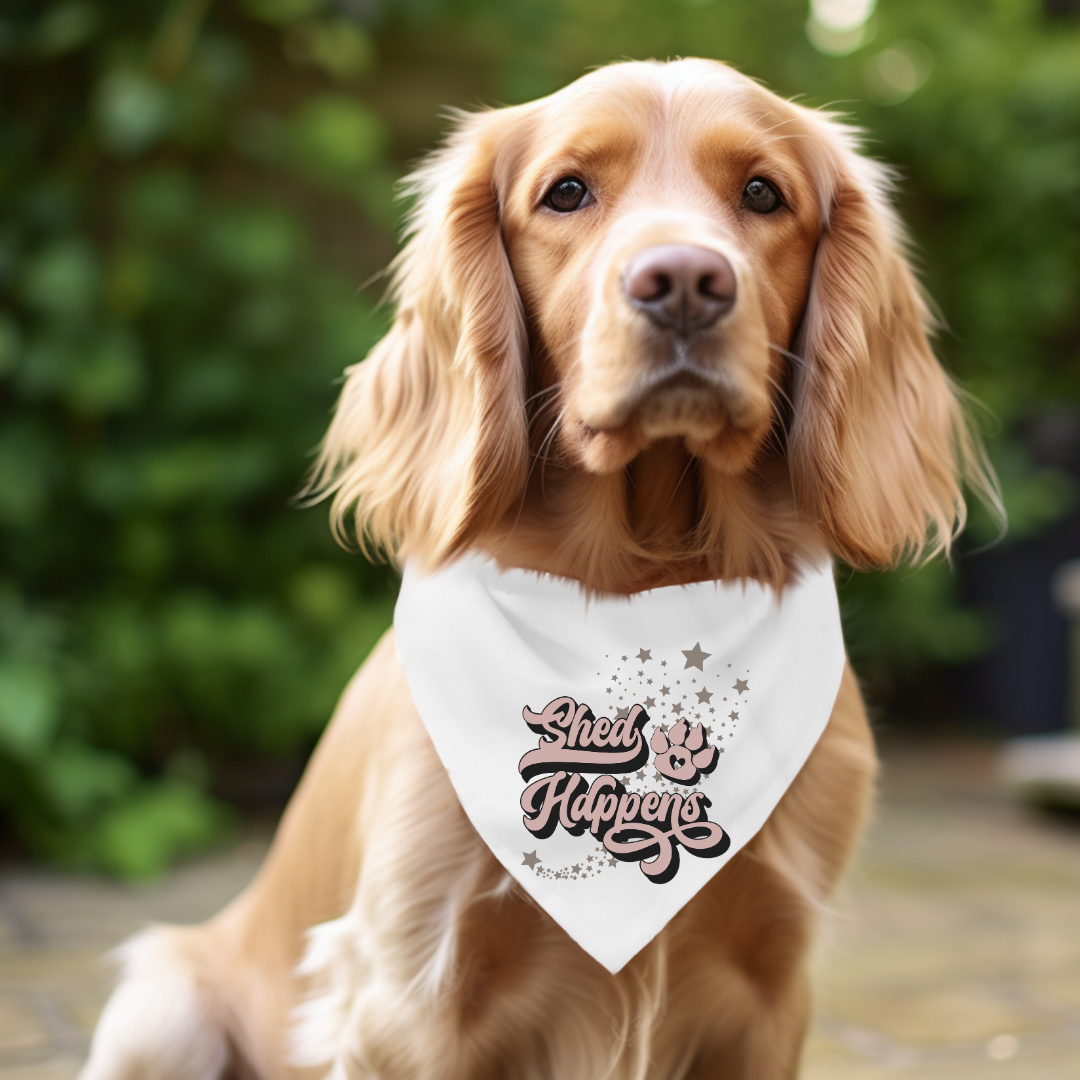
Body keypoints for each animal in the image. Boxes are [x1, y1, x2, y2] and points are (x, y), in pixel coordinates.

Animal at [79, 59, 997, 1080]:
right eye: (567, 192)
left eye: (764, 194)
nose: (684, 282)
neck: (642, 588)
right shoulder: (412, 994)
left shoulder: (769, 988)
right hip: (161, 1007)